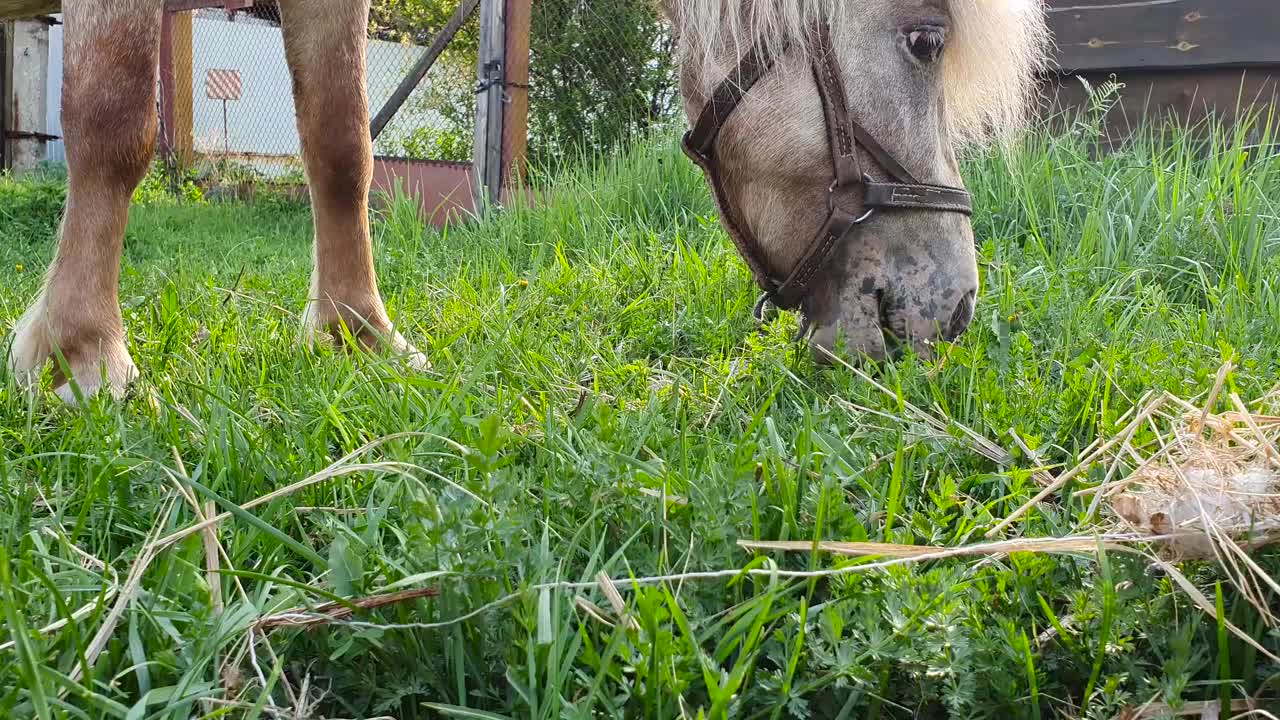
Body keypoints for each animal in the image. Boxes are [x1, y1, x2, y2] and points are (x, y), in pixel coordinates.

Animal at [2, 1, 1049, 404]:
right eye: (925, 40)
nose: (954, 309)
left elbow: (342, 143)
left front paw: (358, 332)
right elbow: (113, 115)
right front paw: (80, 350)